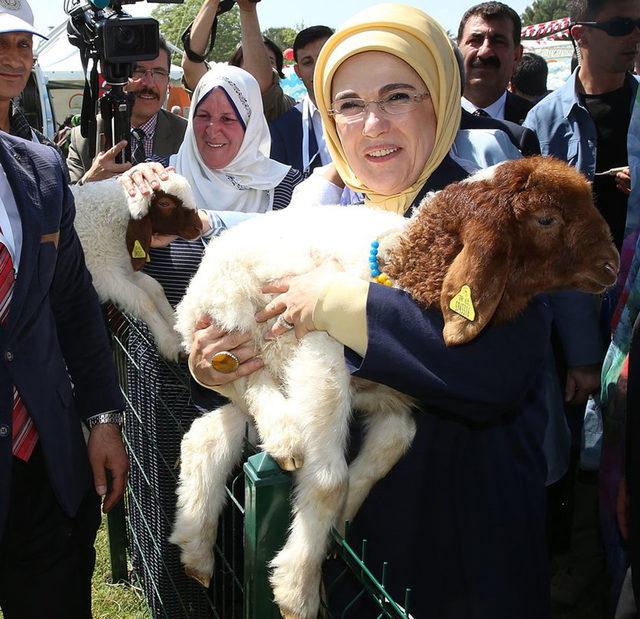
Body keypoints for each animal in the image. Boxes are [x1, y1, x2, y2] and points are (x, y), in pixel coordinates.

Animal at [70, 172, 201, 360]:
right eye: (164, 203)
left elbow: (155, 288)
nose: (199, 227)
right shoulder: (103, 274)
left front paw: (176, 328)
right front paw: (168, 341)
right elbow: (143, 300)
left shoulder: (126, 267)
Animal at [170, 156, 620, 619]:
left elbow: (391, 447)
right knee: (248, 378)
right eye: (546, 218)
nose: (613, 266)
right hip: (230, 315)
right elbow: (329, 482)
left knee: (205, 434)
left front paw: (337, 529)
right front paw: (298, 588)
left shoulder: (389, 399)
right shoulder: (320, 361)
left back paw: (195, 548)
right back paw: (284, 436)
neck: (405, 266)